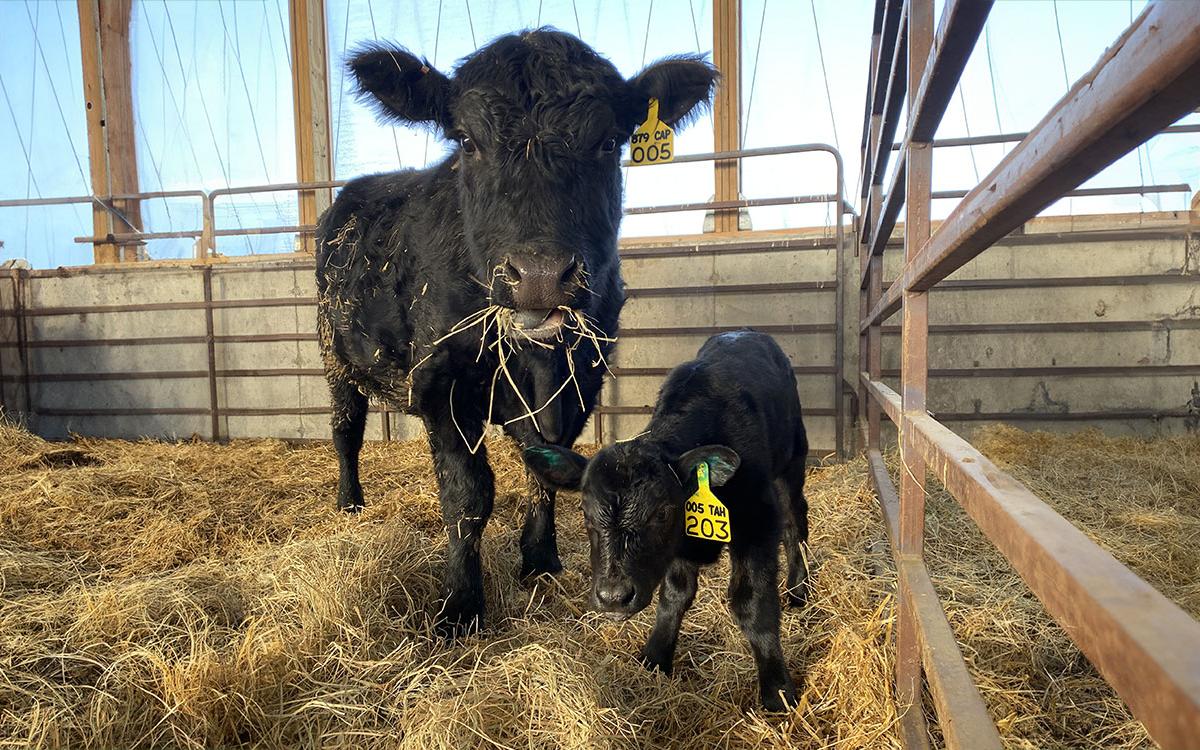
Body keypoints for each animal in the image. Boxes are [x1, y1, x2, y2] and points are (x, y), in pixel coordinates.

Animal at [316, 29, 718, 635]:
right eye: (466, 140)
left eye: (609, 141)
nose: (538, 275)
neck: (535, 359)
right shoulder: (441, 385)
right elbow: (466, 494)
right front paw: (461, 603)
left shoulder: (581, 379)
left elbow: (548, 467)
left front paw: (540, 558)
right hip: (333, 352)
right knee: (346, 430)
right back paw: (349, 502)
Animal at [524, 330, 810, 711]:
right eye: (585, 512)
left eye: (661, 512)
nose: (613, 597)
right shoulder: (678, 547)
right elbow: (674, 595)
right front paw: (655, 658)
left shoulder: (757, 521)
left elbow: (753, 603)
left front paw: (777, 689)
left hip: (793, 460)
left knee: (796, 520)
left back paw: (799, 589)